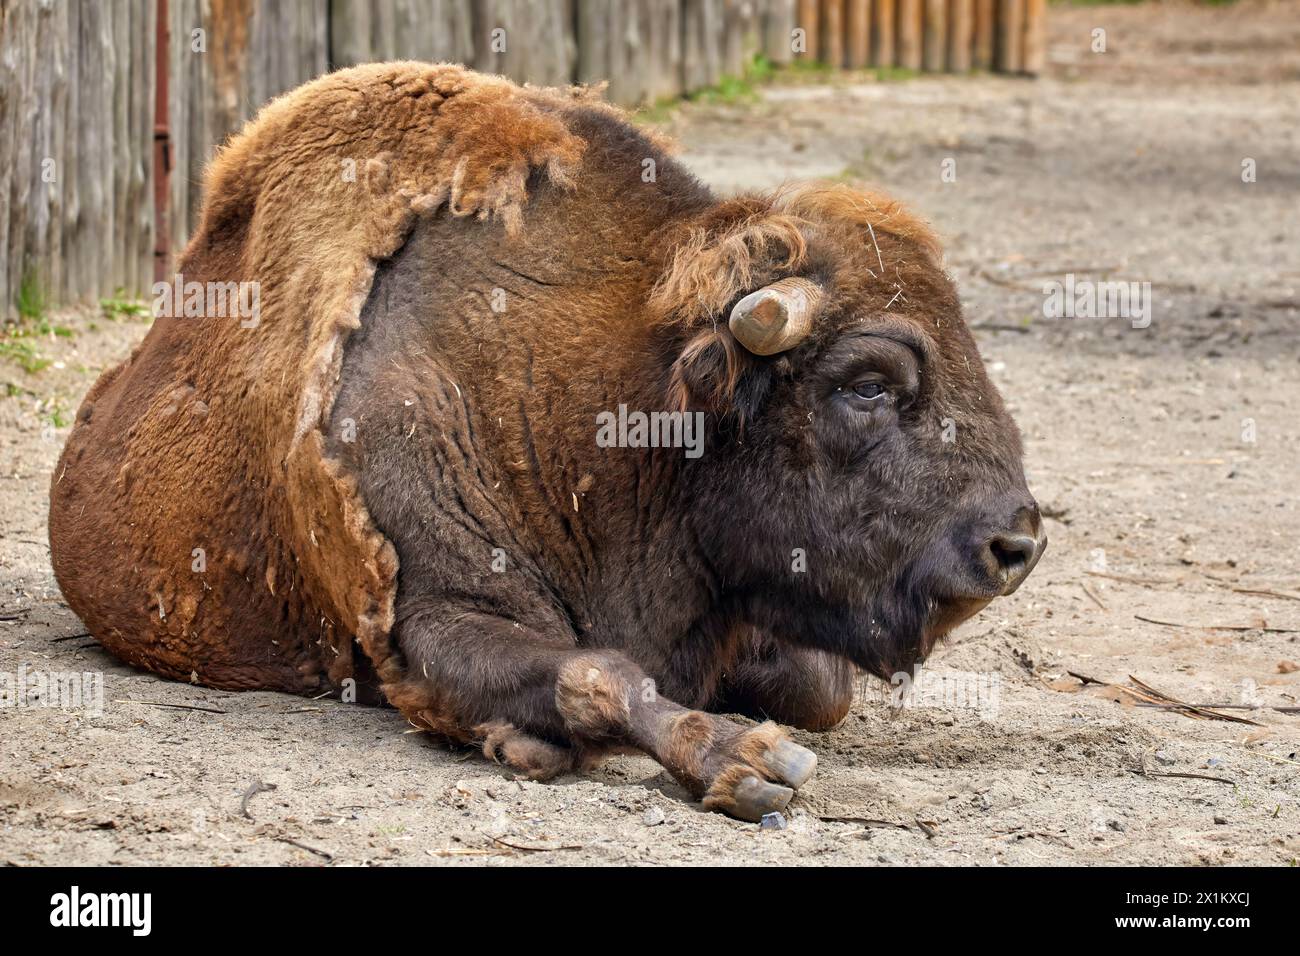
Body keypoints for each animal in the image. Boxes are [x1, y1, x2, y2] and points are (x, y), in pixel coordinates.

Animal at [50, 61, 1045, 822]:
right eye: (867, 384)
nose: (1017, 544)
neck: (620, 384)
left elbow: (820, 689)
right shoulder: (431, 616)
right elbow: (598, 672)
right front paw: (744, 764)